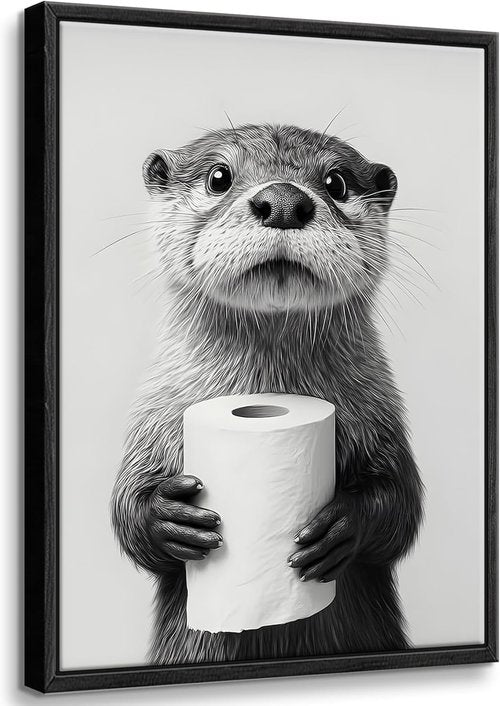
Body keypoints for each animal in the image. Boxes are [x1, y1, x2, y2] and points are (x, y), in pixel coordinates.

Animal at [111, 123, 423, 665]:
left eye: (337, 182)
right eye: (219, 176)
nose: (282, 201)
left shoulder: (382, 416)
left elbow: (401, 504)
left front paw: (343, 525)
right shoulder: (153, 415)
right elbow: (125, 506)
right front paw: (167, 517)